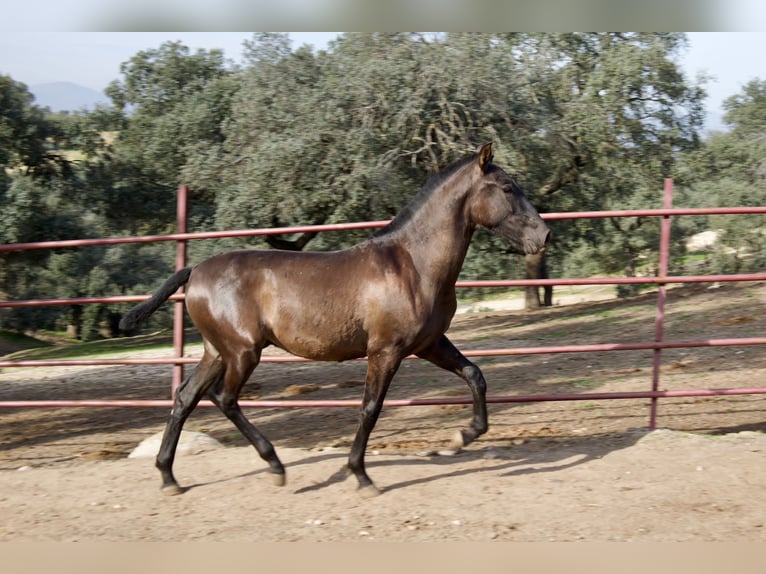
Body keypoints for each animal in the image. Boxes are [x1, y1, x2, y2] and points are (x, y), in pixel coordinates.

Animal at [120, 142, 552, 498]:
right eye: (508, 188)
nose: (544, 235)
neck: (413, 264)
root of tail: (194, 271)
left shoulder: (429, 344)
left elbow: (475, 375)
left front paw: (461, 436)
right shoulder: (386, 351)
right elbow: (370, 409)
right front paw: (360, 475)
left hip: (216, 351)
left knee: (185, 398)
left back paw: (169, 478)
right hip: (242, 352)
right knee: (224, 399)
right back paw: (275, 467)